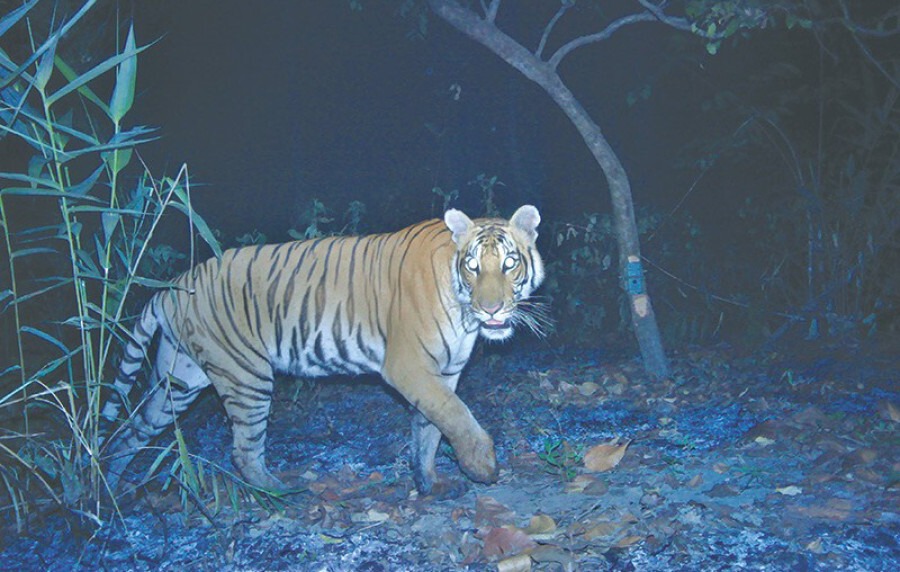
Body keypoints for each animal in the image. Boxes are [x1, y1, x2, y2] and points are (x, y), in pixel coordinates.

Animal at [101, 205, 546, 495]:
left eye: (509, 264)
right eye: (472, 266)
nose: (491, 309)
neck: (464, 315)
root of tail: (172, 288)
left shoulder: (444, 371)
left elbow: (430, 429)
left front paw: (429, 483)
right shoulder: (409, 366)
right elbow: (455, 415)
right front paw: (482, 467)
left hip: (178, 381)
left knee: (131, 430)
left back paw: (112, 486)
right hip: (246, 377)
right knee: (243, 451)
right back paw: (283, 494)